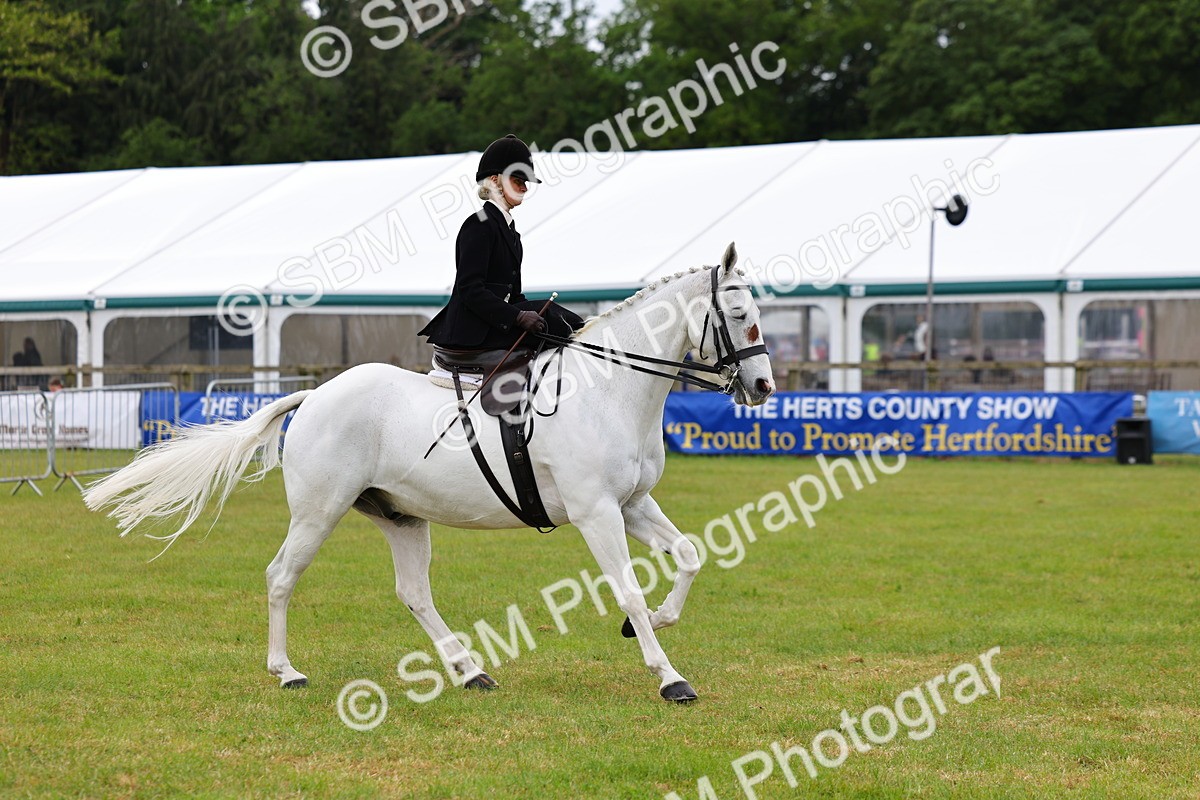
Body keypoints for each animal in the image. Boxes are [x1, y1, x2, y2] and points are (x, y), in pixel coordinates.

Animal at [83, 243, 776, 703]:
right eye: (743, 317)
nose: (764, 388)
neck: (609, 386)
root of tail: (313, 395)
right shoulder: (597, 512)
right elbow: (628, 585)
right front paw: (670, 676)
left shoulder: (632, 504)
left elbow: (688, 555)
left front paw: (650, 623)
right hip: (319, 510)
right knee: (282, 576)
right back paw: (288, 671)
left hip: (400, 516)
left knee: (414, 592)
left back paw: (470, 671)